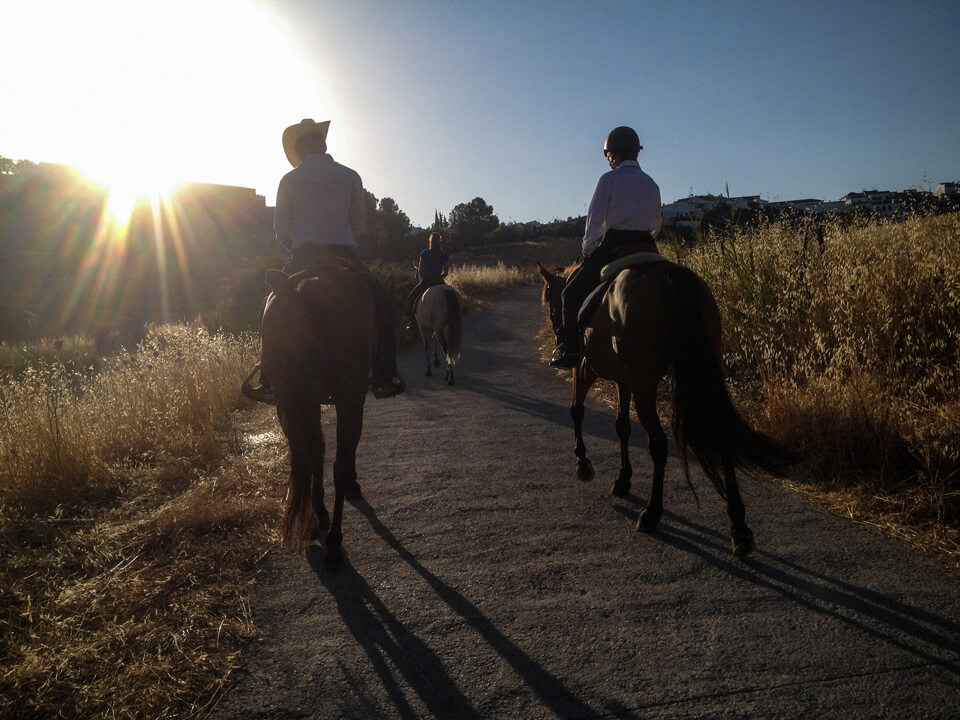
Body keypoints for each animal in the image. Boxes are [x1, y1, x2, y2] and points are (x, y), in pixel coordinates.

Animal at [242, 262, 374, 572]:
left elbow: (314, 451)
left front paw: (317, 512)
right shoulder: (352, 398)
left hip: (289, 399)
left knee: (310, 451)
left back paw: (315, 520)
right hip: (346, 395)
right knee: (337, 462)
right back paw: (334, 544)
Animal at [536, 255, 784, 556]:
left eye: (553, 305)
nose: (558, 337)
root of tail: (666, 278)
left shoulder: (586, 367)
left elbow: (576, 409)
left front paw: (583, 464)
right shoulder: (623, 380)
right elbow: (621, 426)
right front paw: (623, 479)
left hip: (644, 385)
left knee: (658, 443)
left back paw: (652, 513)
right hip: (701, 370)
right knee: (721, 437)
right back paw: (739, 526)